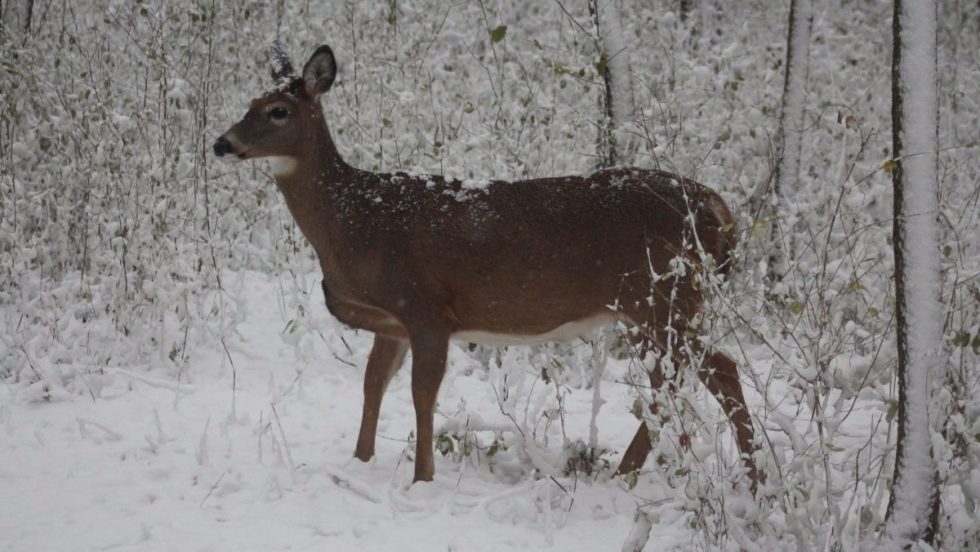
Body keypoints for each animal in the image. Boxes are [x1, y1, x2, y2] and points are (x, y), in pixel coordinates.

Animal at [214, 42, 761, 489]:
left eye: (278, 110)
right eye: (249, 104)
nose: (223, 143)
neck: (356, 222)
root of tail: (719, 212)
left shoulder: (427, 306)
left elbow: (421, 394)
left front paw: (422, 479)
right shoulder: (392, 322)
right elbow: (373, 386)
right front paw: (360, 463)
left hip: (662, 295)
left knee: (714, 369)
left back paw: (729, 475)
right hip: (652, 306)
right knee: (685, 375)